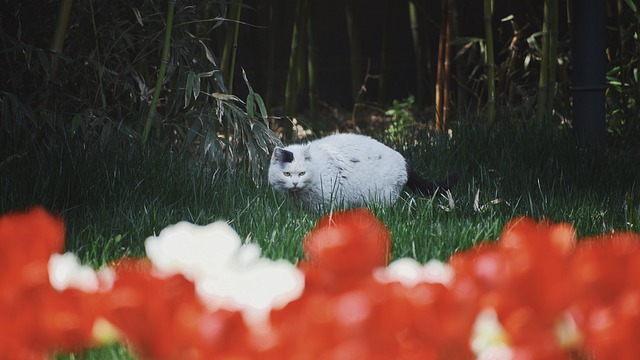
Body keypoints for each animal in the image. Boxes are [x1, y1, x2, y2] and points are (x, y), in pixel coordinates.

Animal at [268, 134, 458, 210]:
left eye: (301, 173)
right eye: (286, 174)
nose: (294, 183)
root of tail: (404, 160)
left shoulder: (328, 201)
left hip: (382, 196)